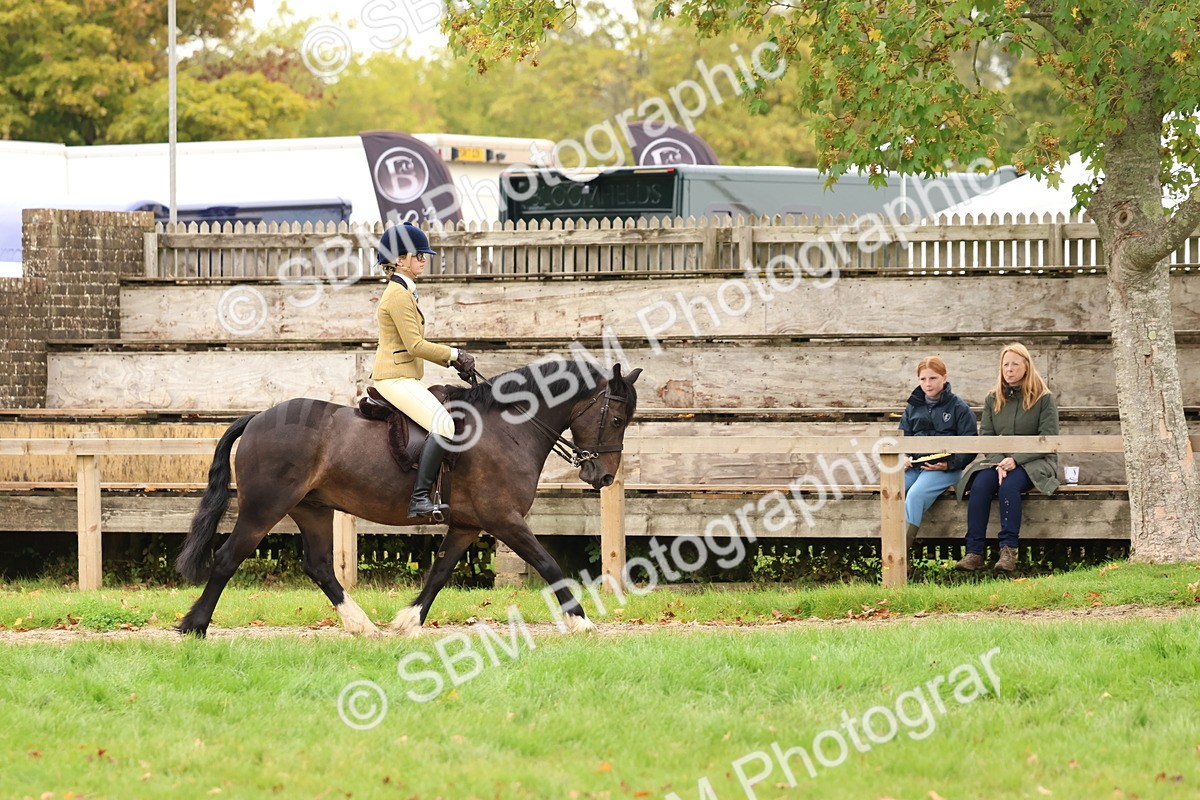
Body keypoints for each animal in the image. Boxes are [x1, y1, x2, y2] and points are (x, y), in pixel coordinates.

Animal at [175, 359, 641, 638]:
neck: (509, 428)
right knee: (227, 559)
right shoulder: (505, 519)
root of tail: (258, 417)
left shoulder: (467, 525)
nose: (603, 475)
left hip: (313, 509)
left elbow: (439, 572)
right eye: (617, 418)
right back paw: (194, 625)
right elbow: (549, 565)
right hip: (264, 508)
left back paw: (362, 625)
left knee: (320, 566)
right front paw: (581, 621)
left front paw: (408, 621)